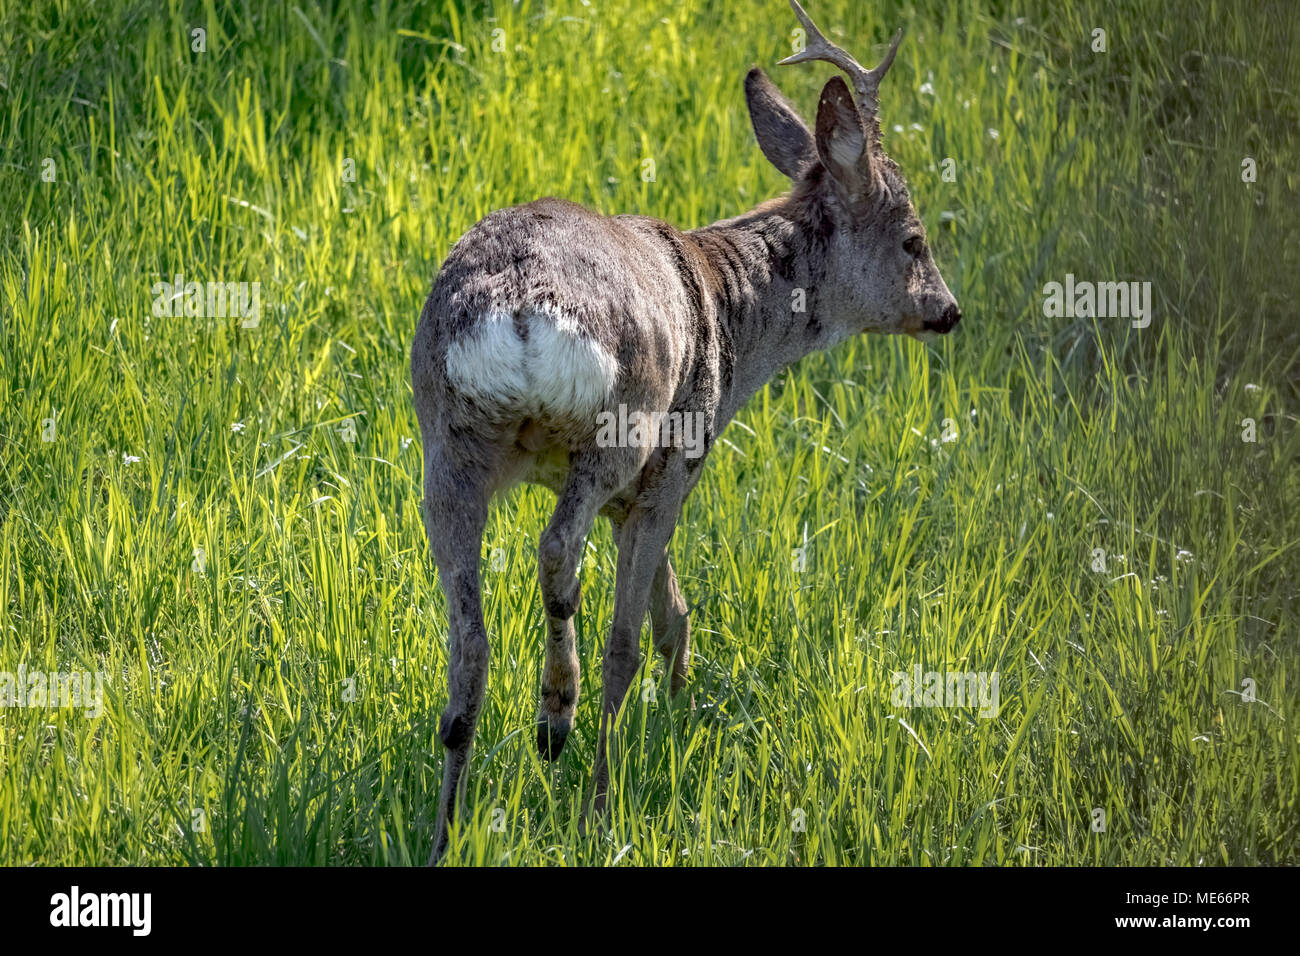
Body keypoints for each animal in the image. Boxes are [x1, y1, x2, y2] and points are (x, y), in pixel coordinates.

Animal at [410, 0, 961, 863]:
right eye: (913, 239)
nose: (947, 309)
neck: (733, 310)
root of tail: (520, 304)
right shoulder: (676, 465)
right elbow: (637, 634)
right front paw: (614, 784)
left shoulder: (639, 492)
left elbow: (674, 612)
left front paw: (678, 704)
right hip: (620, 423)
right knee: (560, 560)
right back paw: (558, 722)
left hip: (447, 440)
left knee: (469, 647)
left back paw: (445, 831)